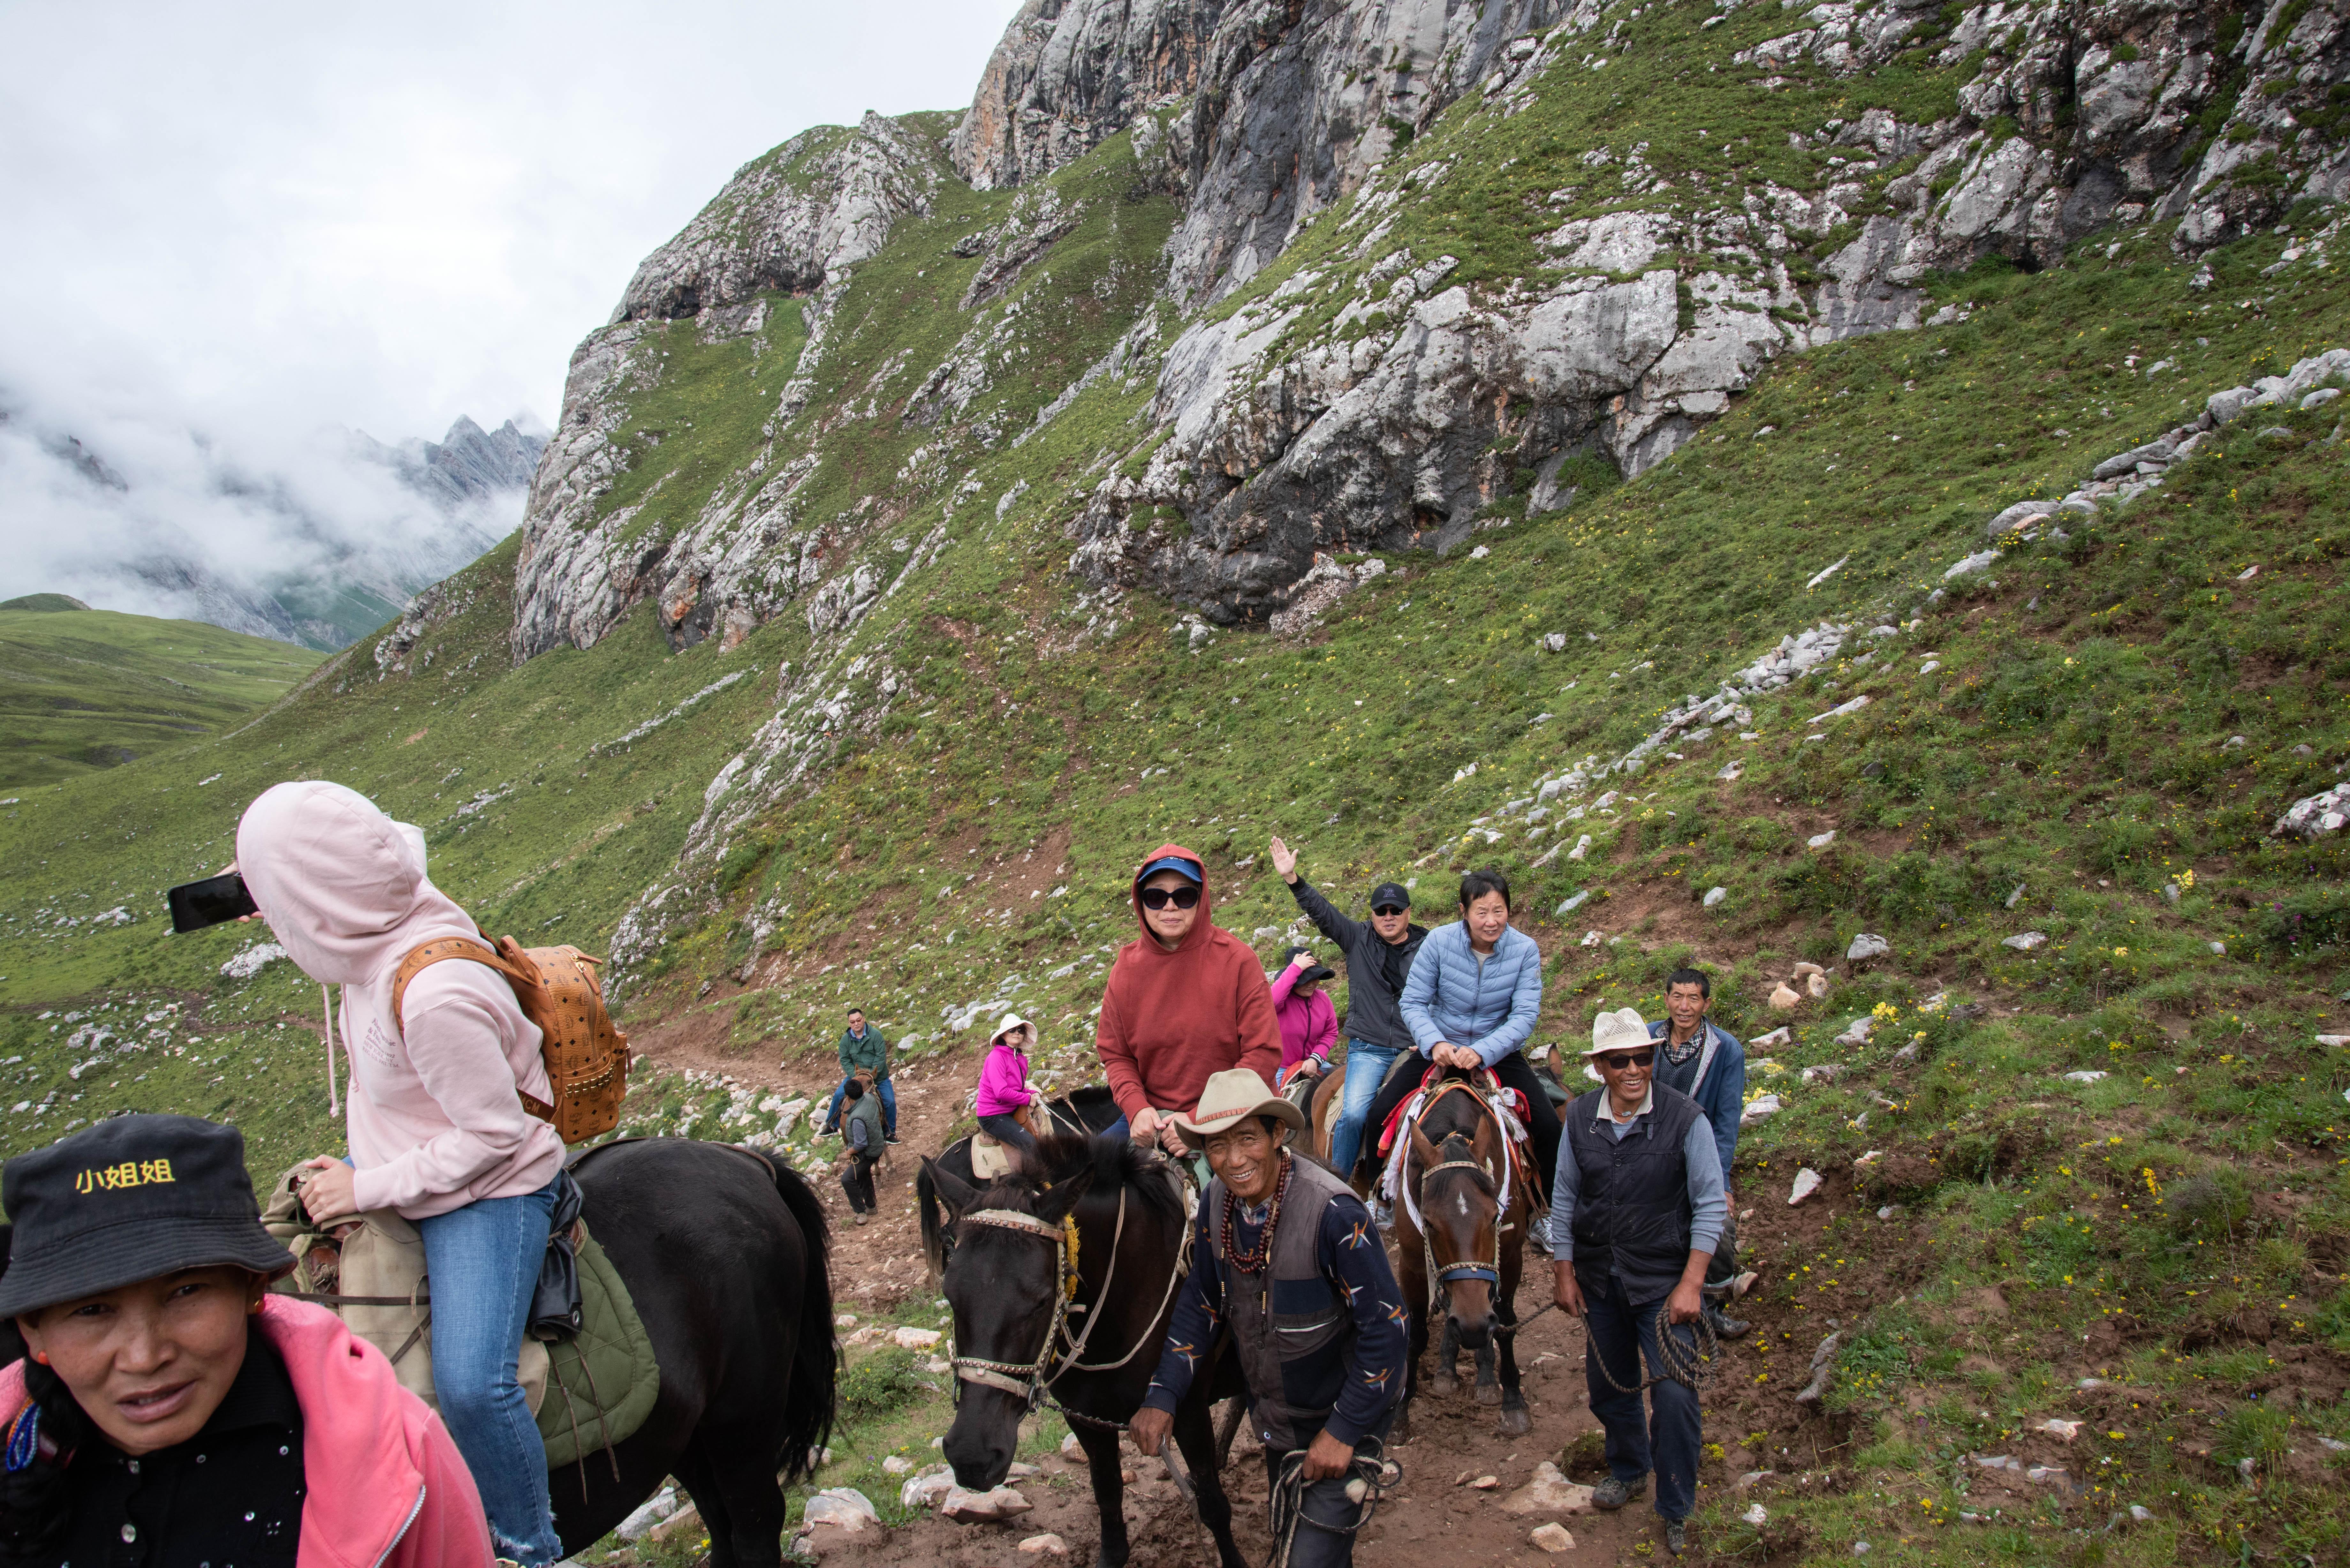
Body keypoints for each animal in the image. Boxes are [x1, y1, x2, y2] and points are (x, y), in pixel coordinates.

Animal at [916, 1142, 1259, 1568]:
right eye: (951, 1295)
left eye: (1042, 1299)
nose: (971, 1457)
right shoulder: (1085, 1420)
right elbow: (1108, 1496)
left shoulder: (1189, 1411)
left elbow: (1212, 1503)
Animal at [1382, 1072, 1532, 1438]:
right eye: (1430, 1223)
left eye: (1494, 1216)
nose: (1474, 1325)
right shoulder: (1411, 1267)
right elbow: (1417, 1335)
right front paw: (1400, 1414)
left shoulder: (1510, 1261)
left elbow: (1505, 1326)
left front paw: (1513, 1402)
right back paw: (1449, 1369)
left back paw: (1484, 1375)